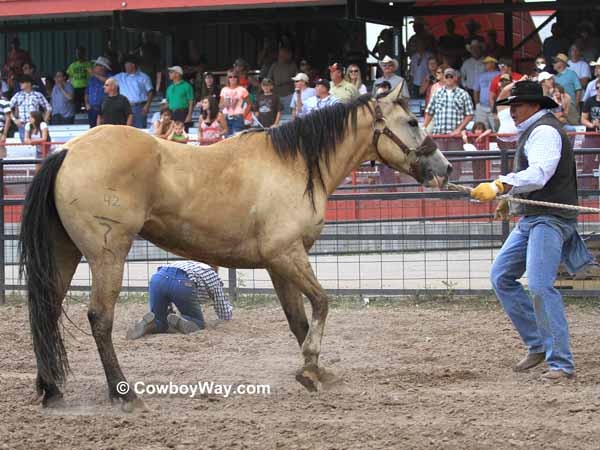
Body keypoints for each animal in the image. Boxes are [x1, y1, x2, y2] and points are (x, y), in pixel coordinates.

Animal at [18, 83, 450, 412]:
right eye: (412, 121)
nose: (444, 168)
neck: (295, 165)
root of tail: (67, 151)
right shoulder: (288, 255)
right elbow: (322, 303)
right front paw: (310, 367)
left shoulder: (279, 264)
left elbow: (299, 320)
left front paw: (316, 372)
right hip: (108, 255)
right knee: (99, 319)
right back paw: (124, 394)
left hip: (66, 255)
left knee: (47, 311)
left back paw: (52, 390)